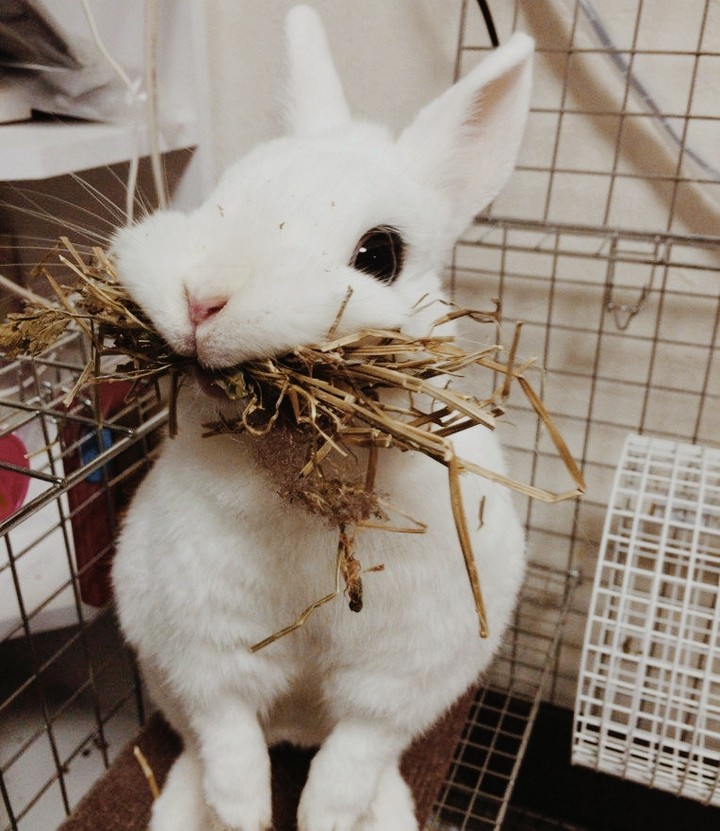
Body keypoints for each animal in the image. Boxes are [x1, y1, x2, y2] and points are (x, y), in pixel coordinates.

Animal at [110, 6, 533, 831]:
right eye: (222, 197)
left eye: (379, 253)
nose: (203, 299)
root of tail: (295, 726)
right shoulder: (204, 642)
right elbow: (228, 733)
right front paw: (243, 812)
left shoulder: (402, 670)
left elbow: (357, 749)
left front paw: (323, 817)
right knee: (197, 741)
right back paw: (191, 807)